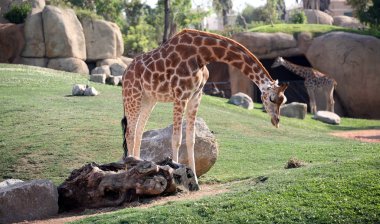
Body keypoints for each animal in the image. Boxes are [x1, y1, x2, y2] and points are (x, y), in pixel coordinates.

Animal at [121, 28, 288, 185]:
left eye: (283, 100)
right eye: (272, 98)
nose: (276, 121)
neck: (202, 55)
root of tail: (125, 73)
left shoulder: (196, 95)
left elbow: (191, 138)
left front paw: (194, 178)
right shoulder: (180, 95)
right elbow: (176, 138)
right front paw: (175, 174)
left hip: (149, 99)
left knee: (138, 131)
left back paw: (139, 165)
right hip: (132, 95)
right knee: (129, 132)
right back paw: (129, 170)